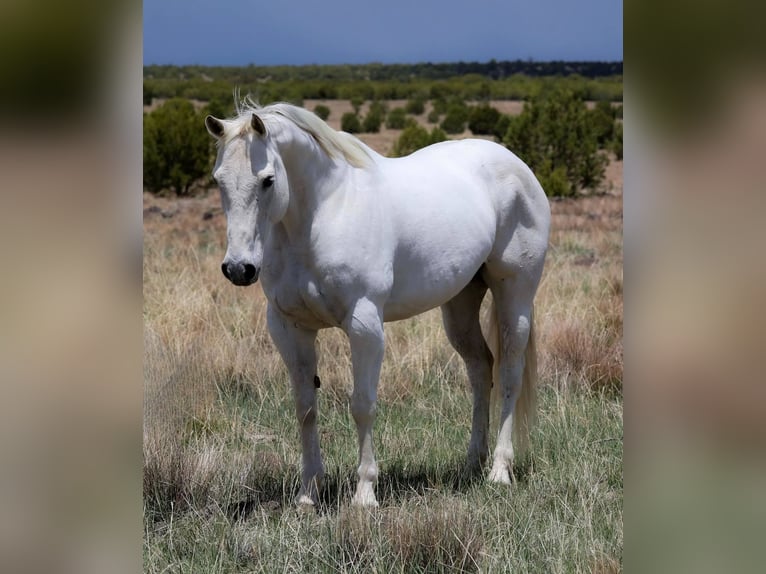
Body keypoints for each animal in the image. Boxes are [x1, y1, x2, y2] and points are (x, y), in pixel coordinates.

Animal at [204, 99, 550, 508]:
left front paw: (365, 493)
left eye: (268, 180)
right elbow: (305, 408)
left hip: (515, 296)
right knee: (482, 369)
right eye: (218, 180)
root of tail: (517, 165)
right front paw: (308, 492)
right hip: (460, 305)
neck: (324, 213)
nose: (239, 268)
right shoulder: (290, 328)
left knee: (510, 374)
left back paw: (499, 471)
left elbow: (362, 405)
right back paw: (471, 465)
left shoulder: (364, 325)